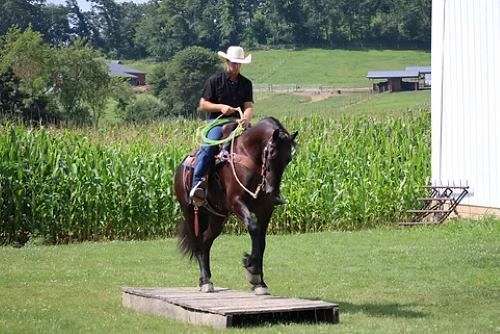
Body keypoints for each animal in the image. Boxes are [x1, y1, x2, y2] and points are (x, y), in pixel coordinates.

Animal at [174, 117, 296, 294]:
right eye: (271, 153)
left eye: (288, 159)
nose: (271, 191)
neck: (248, 154)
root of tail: (181, 166)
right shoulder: (236, 202)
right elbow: (253, 228)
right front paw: (251, 268)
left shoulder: (266, 209)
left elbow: (261, 241)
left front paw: (259, 281)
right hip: (189, 212)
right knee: (198, 243)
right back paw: (205, 281)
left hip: (217, 217)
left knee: (206, 241)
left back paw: (208, 278)